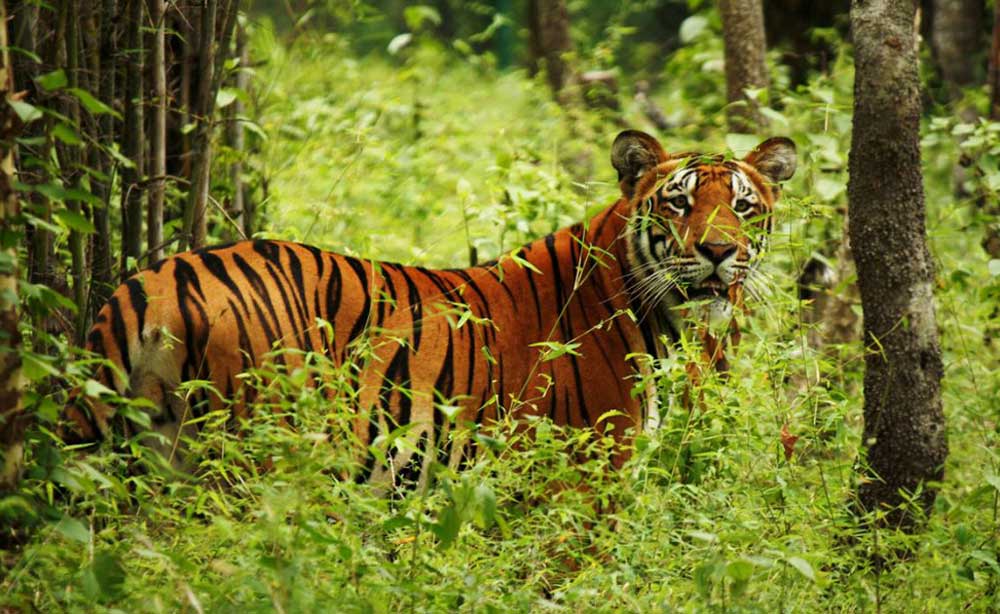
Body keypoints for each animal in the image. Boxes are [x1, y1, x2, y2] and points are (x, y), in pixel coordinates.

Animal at [60, 130, 796, 490]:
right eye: (678, 202)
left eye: (743, 206)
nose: (719, 252)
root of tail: (156, 279)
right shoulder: (583, 483)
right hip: (255, 458)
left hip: (148, 457)